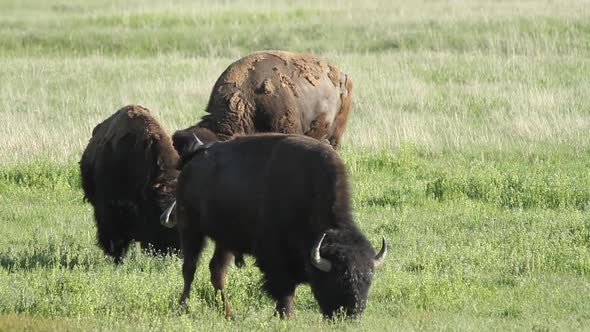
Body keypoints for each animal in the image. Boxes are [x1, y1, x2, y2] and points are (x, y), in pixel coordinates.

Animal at [166, 132, 388, 320]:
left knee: (217, 271)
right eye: (337, 279)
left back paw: (229, 313)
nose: (352, 315)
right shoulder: (275, 255)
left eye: (368, 280)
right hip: (191, 229)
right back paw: (182, 308)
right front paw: (286, 315)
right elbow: (285, 286)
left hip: (225, 240)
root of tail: (192, 161)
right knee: (189, 269)